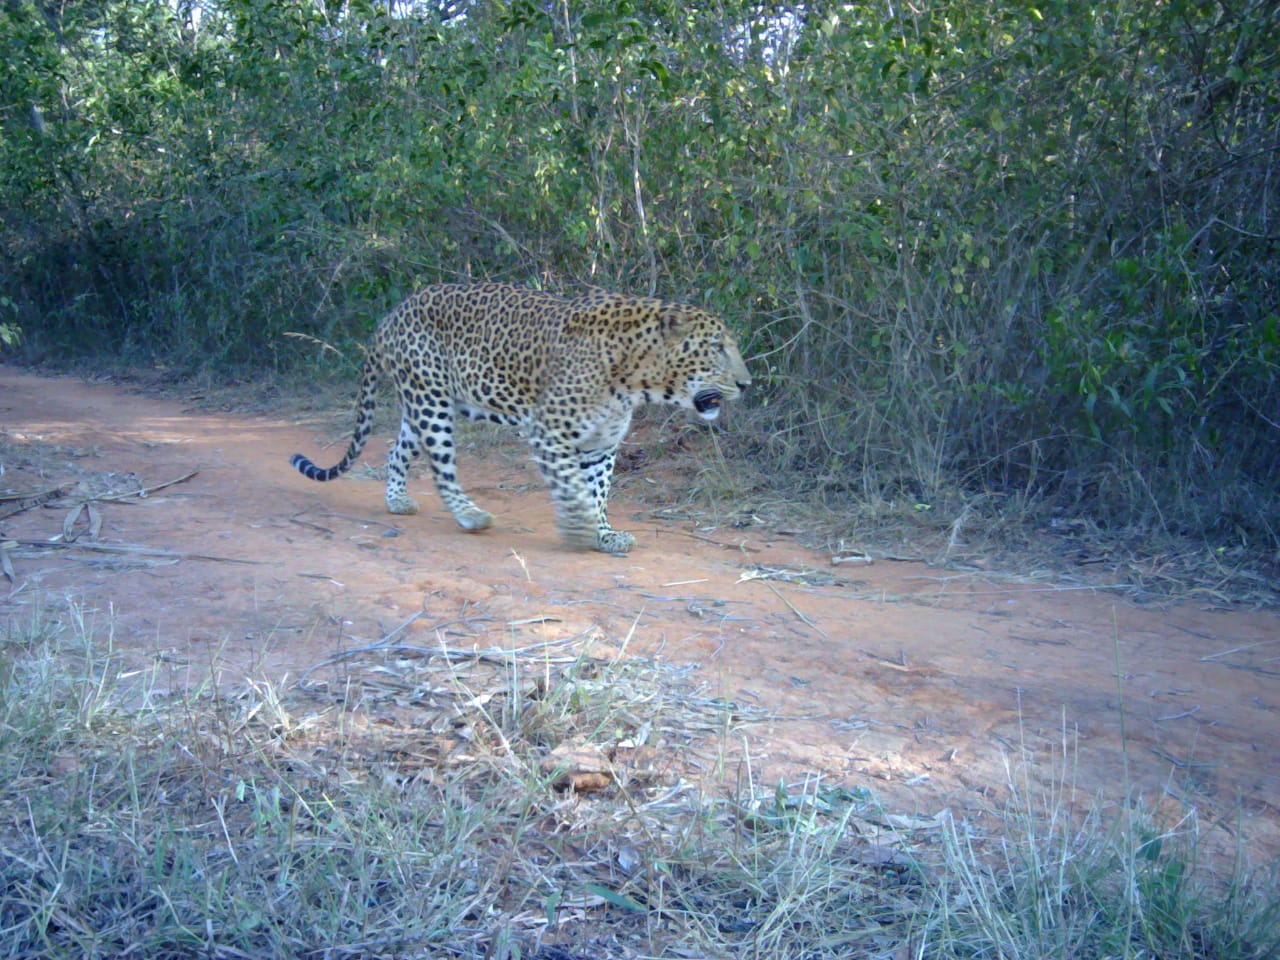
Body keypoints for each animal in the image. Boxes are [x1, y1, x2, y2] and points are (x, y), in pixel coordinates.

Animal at [290, 284, 747, 555]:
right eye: (716, 348)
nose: (747, 383)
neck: (637, 378)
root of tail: (391, 315)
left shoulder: (600, 445)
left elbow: (597, 492)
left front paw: (603, 534)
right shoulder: (550, 433)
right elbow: (574, 489)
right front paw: (580, 531)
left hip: (425, 401)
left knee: (396, 450)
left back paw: (397, 500)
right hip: (432, 403)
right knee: (442, 469)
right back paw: (470, 515)